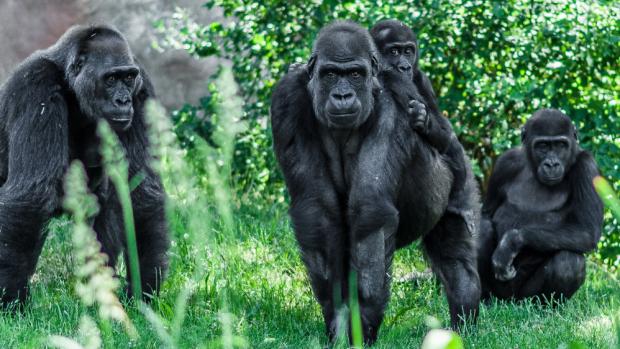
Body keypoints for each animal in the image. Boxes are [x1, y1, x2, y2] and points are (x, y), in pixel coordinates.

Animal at [0, 24, 170, 304]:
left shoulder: (142, 87)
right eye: (111, 79)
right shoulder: (34, 85)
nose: (124, 101)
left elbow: (140, 190)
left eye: (128, 78)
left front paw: (143, 291)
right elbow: (31, 197)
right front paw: (11, 299)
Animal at [270, 21, 480, 346]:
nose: (343, 96)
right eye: (331, 74)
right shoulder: (287, 99)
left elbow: (371, 210)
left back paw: (464, 323)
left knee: (455, 256)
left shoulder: (393, 102)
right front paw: (337, 315)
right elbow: (317, 208)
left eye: (355, 74)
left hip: (462, 179)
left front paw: (362, 324)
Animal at [478, 109, 604, 302]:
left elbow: (586, 231)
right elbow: (486, 214)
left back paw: (546, 306)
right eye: (543, 145)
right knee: (483, 229)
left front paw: (511, 241)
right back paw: (484, 299)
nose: (551, 164)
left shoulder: (587, 166)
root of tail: (510, 302)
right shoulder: (505, 163)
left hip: (525, 297)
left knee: (568, 260)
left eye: (560, 145)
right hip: (501, 294)